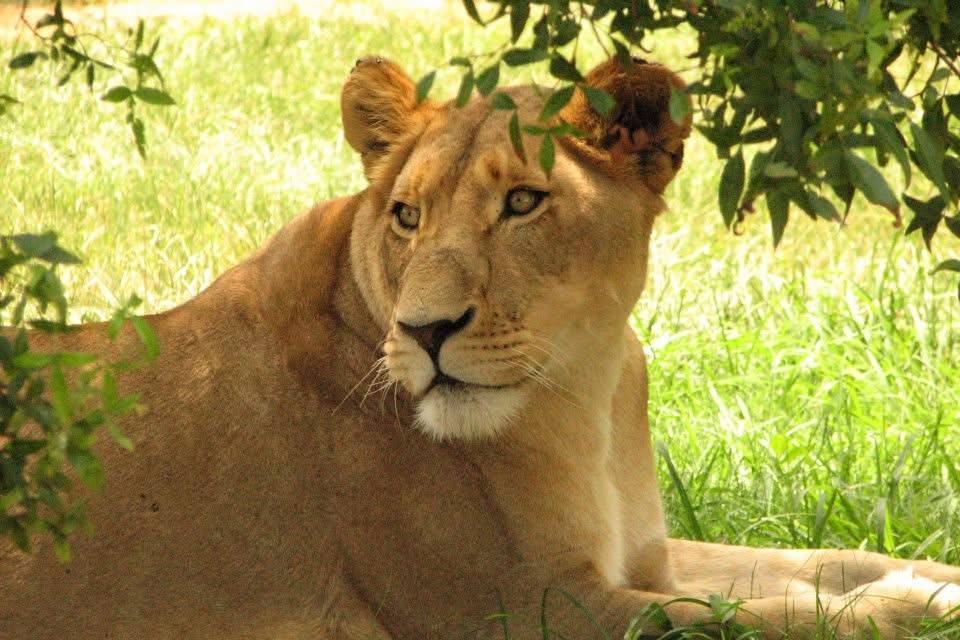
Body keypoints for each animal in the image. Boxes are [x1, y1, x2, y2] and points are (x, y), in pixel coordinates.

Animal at [2, 55, 959, 640]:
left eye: (524, 203)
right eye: (407, 215)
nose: (425, 331)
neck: (585, 391)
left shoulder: (639, 556)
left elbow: (816, 566)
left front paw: (931, 577)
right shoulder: (526, 607)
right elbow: (760, 618)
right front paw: (913, 614)